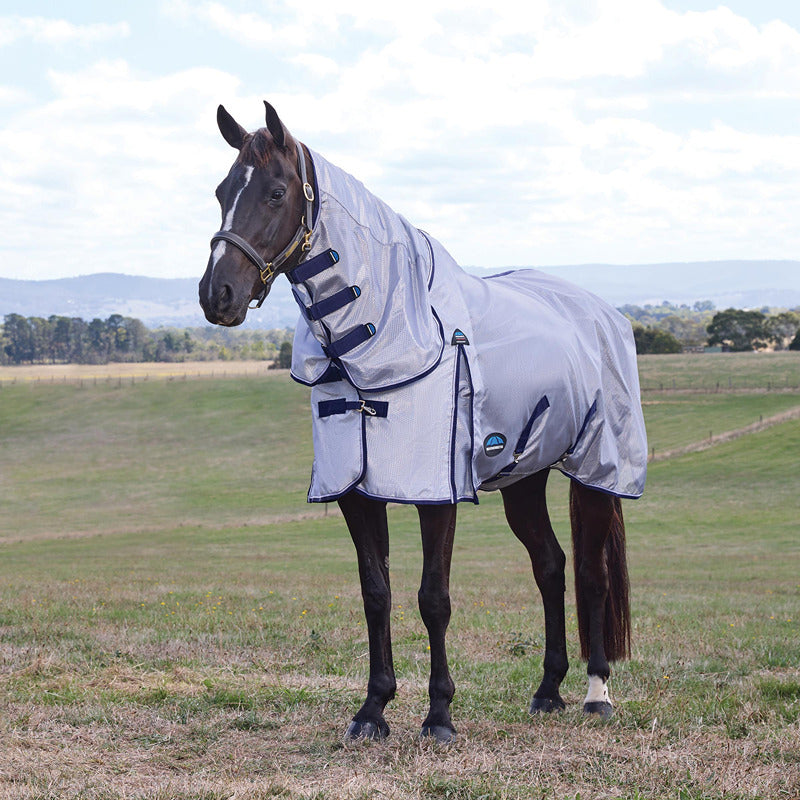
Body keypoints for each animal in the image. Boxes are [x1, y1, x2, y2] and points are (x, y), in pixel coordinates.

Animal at [199, 102, 648, 743]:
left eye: (276, 192)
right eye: (221, 191)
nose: (218, 295)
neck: (382, 335)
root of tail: (600, 312)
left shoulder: (437, 491)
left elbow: (433, 597)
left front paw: (439, 715)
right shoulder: (355, 489)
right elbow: (376, 592)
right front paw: (373, 709)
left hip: (595, 471)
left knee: (591, 572)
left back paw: (596, 693)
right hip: (524, 477)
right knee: (550, 567)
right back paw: (547, 690)